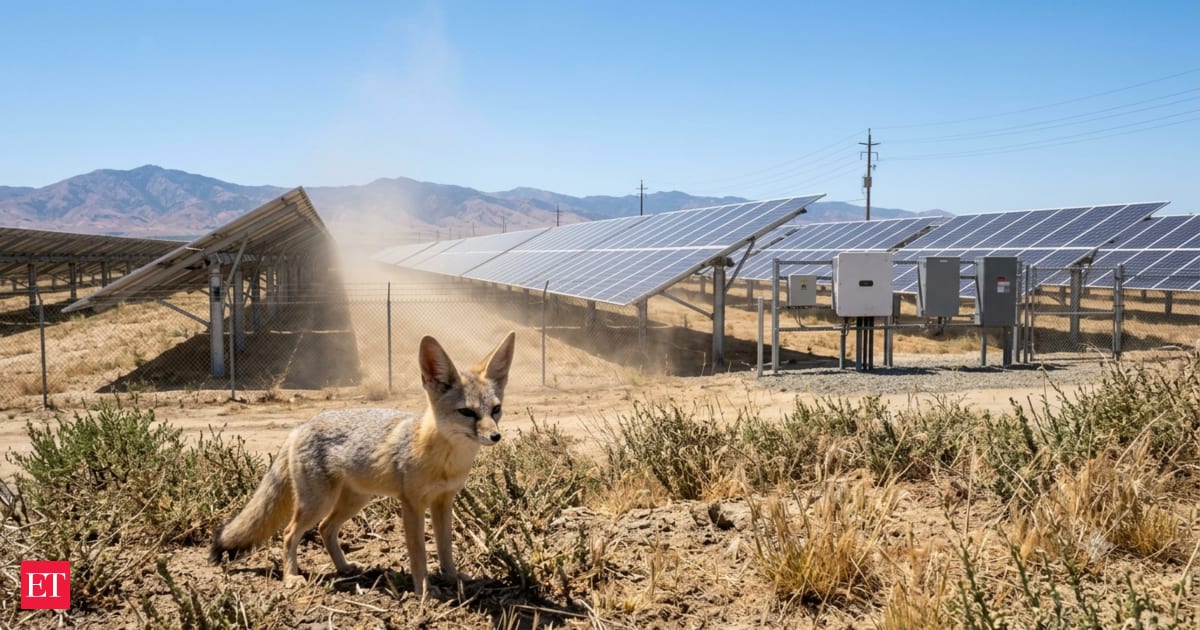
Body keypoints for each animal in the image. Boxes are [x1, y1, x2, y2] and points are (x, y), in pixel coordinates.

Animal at [209, 331, 516, 597]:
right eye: (467, 412)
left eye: (495, 410)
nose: (495, 436)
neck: (445, 461)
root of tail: (300, 427)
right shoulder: (412, 505)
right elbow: (418, 554)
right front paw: (424, 592)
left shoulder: (444, 501)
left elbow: (445, 548)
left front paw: (451, 577)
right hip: (317, 504)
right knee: (288, 533)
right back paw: (291, 576)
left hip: (354, 501)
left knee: (325, 529)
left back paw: (344, 568)